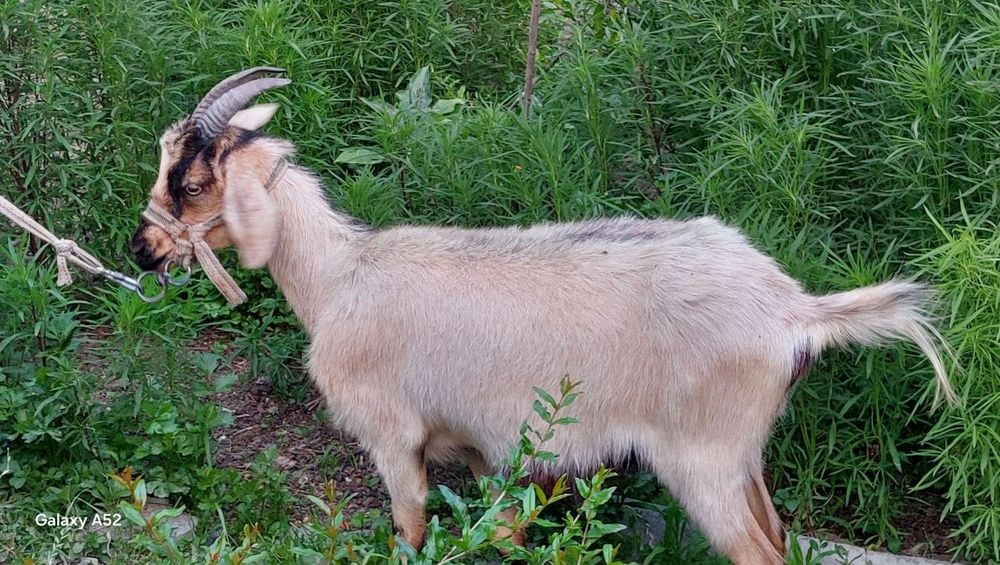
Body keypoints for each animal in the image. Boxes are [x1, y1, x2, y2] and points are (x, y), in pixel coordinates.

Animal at [131, 69, 957, 564]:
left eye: (193, 182)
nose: (143, 248)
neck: (339, 276)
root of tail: (794, 309)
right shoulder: (486, 449)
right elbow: (506, 527)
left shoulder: (391, 432)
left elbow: (411, 525)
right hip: (741, 454)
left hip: (702, 457)